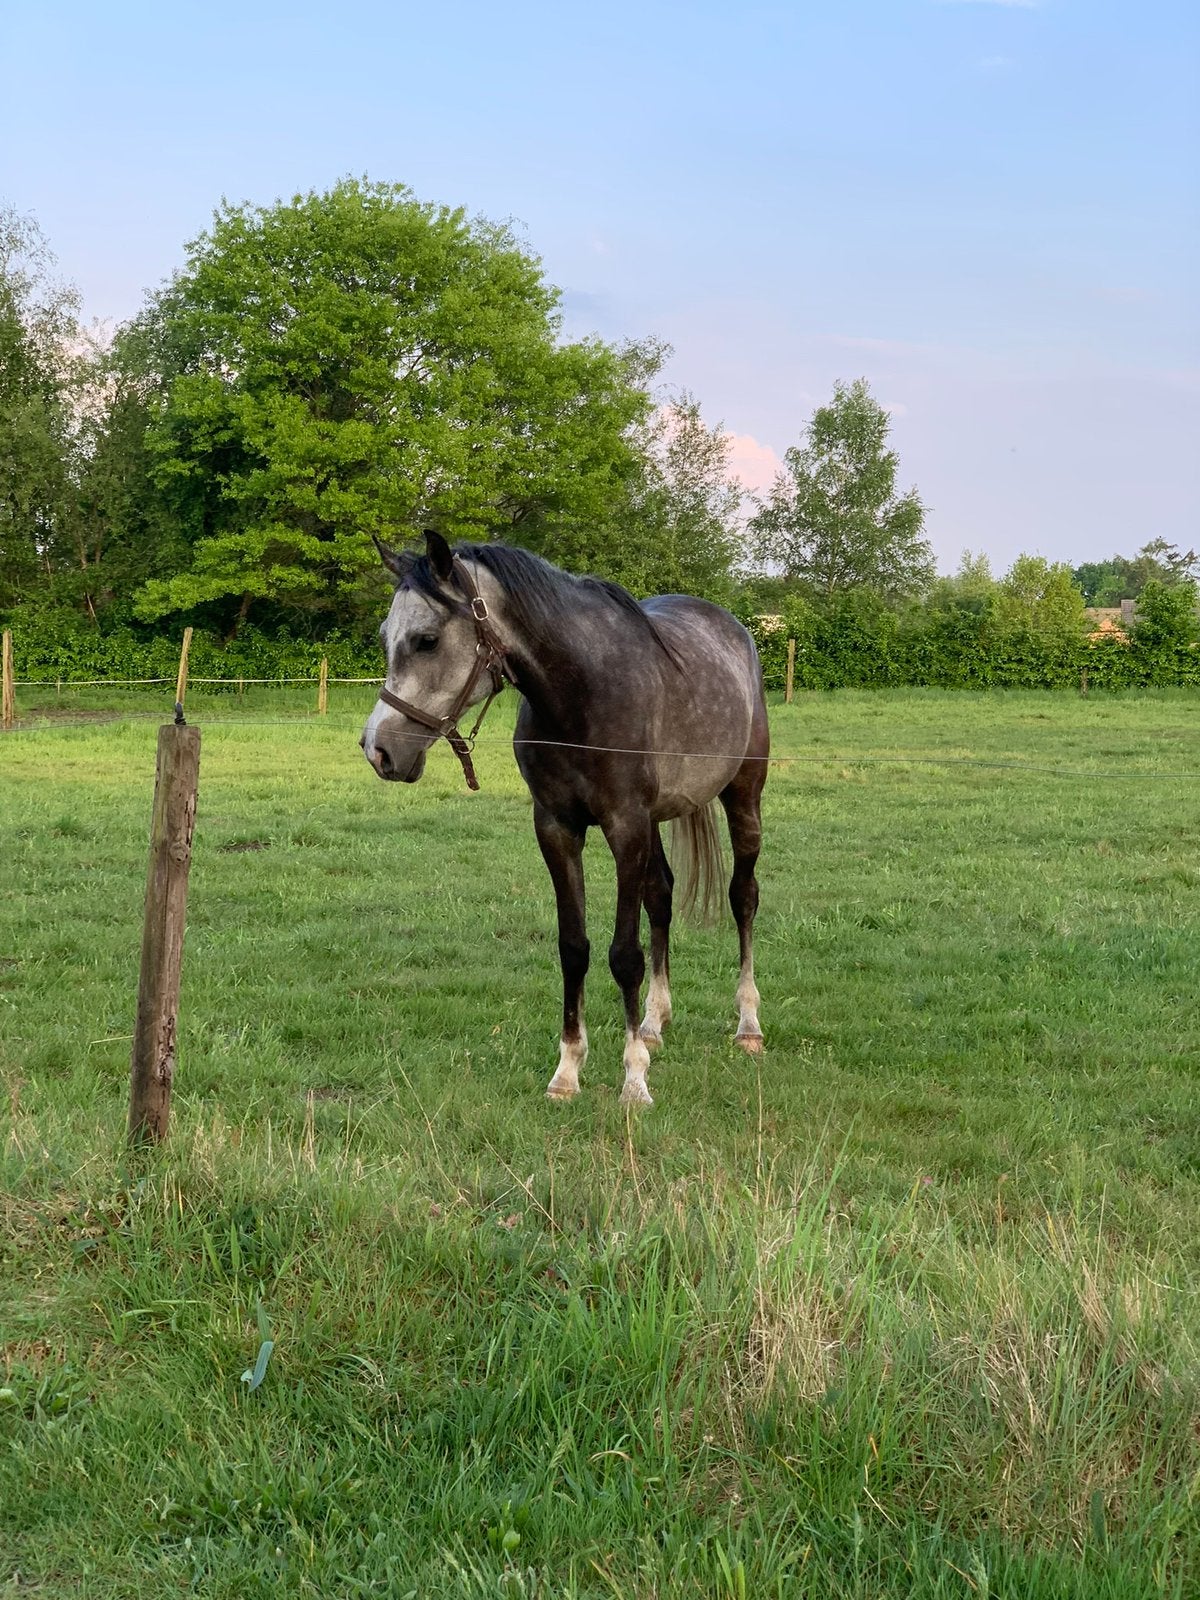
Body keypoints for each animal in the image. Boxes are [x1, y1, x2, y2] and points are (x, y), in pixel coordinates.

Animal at [360, 530, 768, 1107]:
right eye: (385, 637)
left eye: (426, 640)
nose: (377, 751)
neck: (581, 695)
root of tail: (733, 629)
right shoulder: (557, 829)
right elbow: (573, 948)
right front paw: (568, 1071)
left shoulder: (624, 827)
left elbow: (624, 955)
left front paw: (634, 1080)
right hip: (656, 822)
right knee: (661, 897)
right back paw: (653, 1022)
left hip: (743, 796)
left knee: (743, 897)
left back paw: (748, 1024)